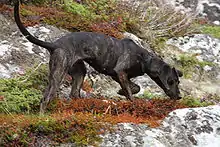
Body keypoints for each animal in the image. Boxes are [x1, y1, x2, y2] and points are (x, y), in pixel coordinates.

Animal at [12, 0, 183, 113]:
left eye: (178, 81)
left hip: (79, 72)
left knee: (74, 94)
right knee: (45, 98)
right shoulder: (120, 72)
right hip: (58, 73)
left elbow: (135, 87)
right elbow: (130, 91)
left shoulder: (117, 75)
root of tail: (54, 44)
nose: (180, 96)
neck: (144, 58)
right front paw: (132, 102)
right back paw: (44, 117)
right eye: (172, 81)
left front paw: (122, 92)